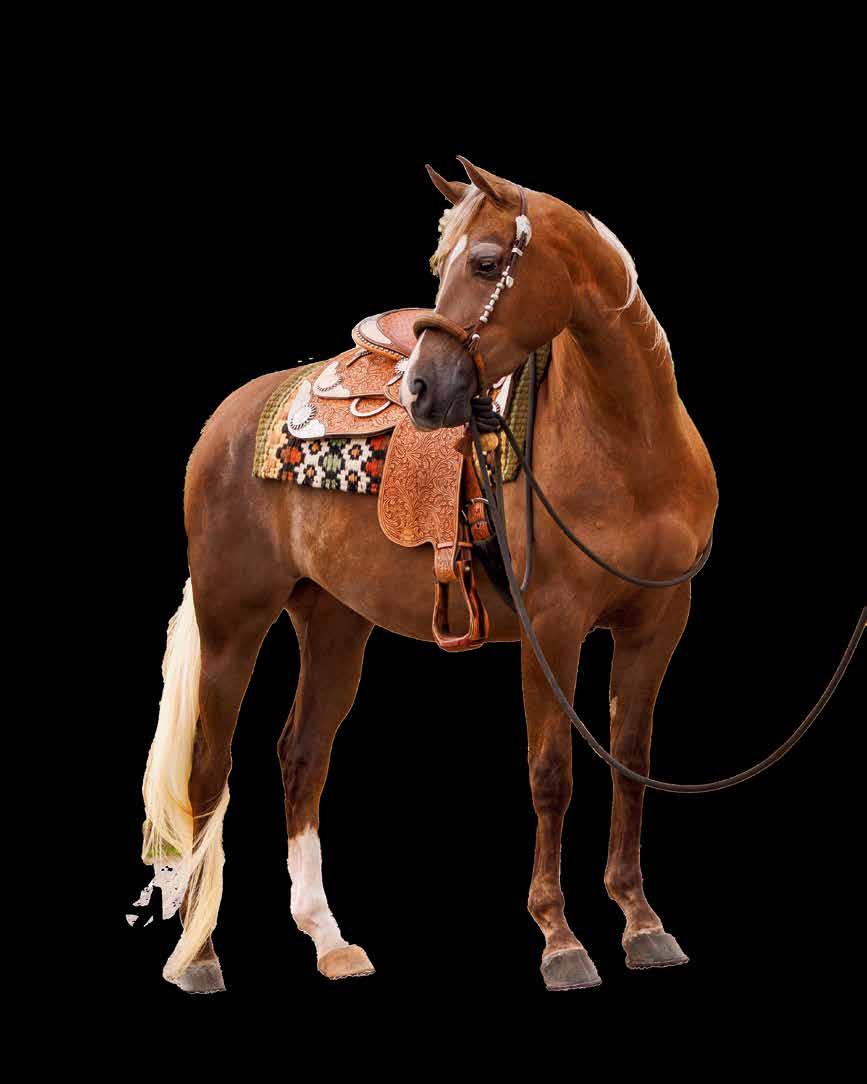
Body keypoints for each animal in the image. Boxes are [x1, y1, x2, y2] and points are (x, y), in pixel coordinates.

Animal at [138, 156, 720, 993]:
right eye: (438, 266)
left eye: (484, 262)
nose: (419, 390)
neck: (628, 445)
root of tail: (226, 420)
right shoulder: (553, 629)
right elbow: (551, 773)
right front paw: (560, 941)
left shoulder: (657, 624)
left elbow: (631, 766)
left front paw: (641, 925)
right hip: (232, 621)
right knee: (208, 770)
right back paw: (199, 956)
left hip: (334, 621)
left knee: (302, 754)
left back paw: (330, 942)